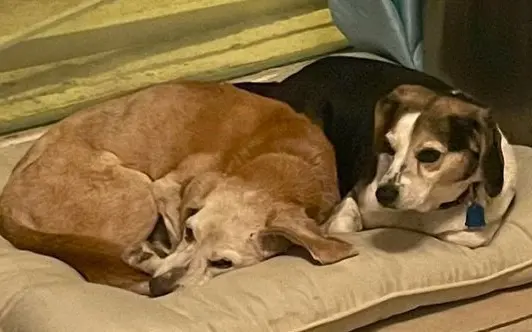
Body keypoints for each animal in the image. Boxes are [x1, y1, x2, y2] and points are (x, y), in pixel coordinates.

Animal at [1, 81, 358, 296]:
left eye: (223, 264)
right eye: (189, 232)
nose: (159, 288)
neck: (279, 161)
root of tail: (6, 200)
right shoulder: (166, 188)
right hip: (138, 193)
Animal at [236, 55, 516, 248]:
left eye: (429, 155)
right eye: (389, 146)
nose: (384, 194)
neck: (426, 211)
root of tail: (284, 83)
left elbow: (471, 236)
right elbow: (346, 223)